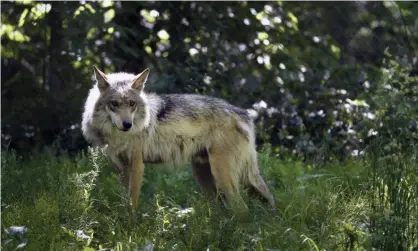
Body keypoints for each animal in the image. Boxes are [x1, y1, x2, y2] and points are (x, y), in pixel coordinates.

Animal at [82, 66, 276, 212]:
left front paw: (130, 226)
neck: (119, 136)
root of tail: (243, 113)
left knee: (242, 209)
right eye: (114, 104)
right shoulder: (122, 168)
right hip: (203, 176)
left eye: (132, 104)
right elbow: (124, 199)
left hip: (223, 176)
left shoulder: (137, 166)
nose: (127, 124)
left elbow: (132, 202)